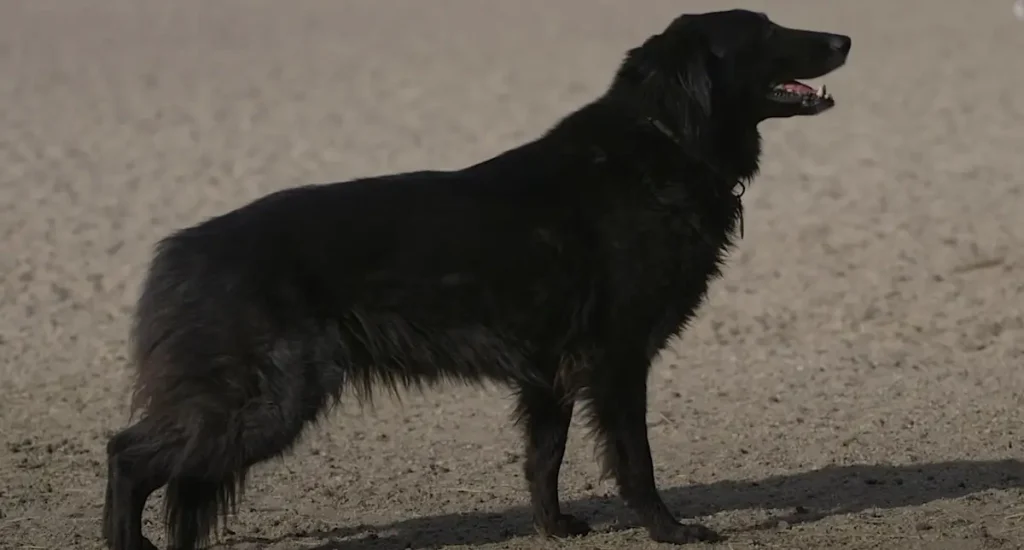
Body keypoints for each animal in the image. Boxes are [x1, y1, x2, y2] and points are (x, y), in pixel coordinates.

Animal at [108, 9, 851, 548]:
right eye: (766, 32)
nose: (844, 37)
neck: (664, 140)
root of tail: (179, 251)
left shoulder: (551, 375)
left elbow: (544, 460)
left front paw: (553, 529)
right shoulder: (617, 362)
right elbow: (636, 462)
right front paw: (671, 532)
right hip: (266, 400)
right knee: (126, 455)